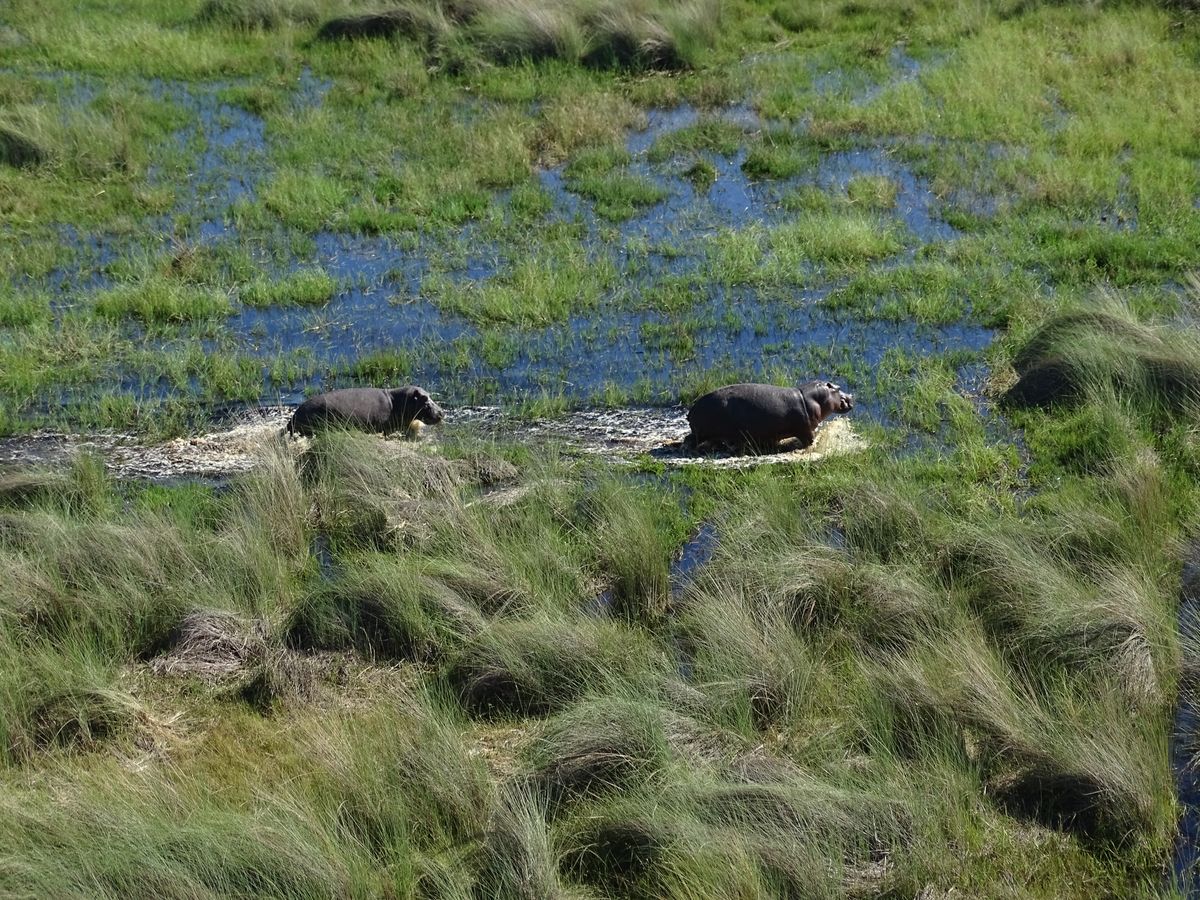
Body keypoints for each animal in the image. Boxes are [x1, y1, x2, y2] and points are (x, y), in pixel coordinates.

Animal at [684, 381, 854, 452]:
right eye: (838, 388)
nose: (851, 396)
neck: (811, 398)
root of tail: (692, 410)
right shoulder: (805, 431)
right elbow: (811, 441)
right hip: (703, 432)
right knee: (690, 440)